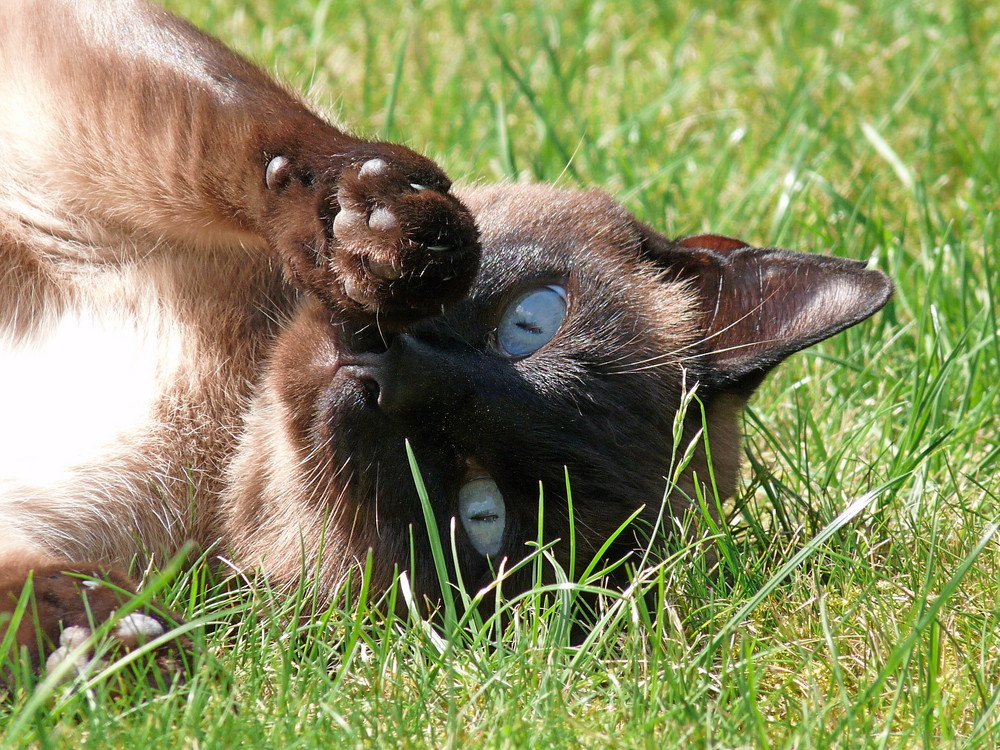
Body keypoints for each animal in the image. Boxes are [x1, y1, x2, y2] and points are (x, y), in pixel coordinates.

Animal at [0, 0, 892, 684]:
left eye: (480, 512)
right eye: (531, 323)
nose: (386, 371)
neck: (226, 401)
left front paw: (106, 642)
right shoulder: (77, 75)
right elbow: (251, 129)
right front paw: (379, 229)